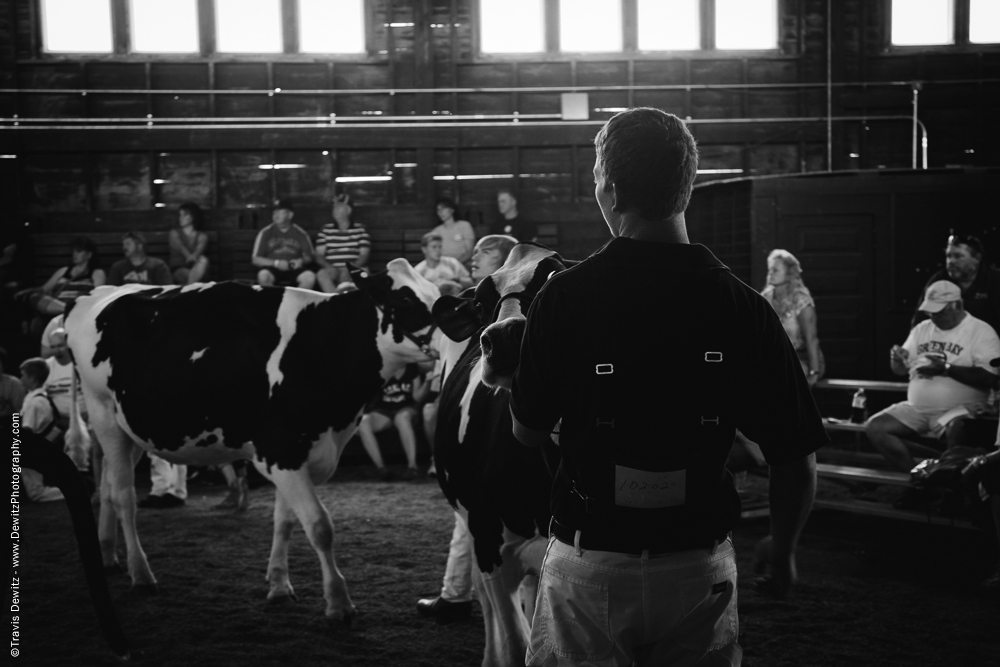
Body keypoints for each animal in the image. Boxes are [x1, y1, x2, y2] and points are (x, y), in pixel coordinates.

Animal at [62, 258, 438, 624]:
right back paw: (141, 575)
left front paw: (280, 586)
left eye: (435, 290)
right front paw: (339, 604)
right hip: (104, 414)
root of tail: (93, 294)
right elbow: (319, 526)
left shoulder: (296, 456)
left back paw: (108, 554)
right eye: (406, 299)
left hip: (132, 429)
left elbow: (285, 521)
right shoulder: (282, 450)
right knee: (124, 496)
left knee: (108, 485)